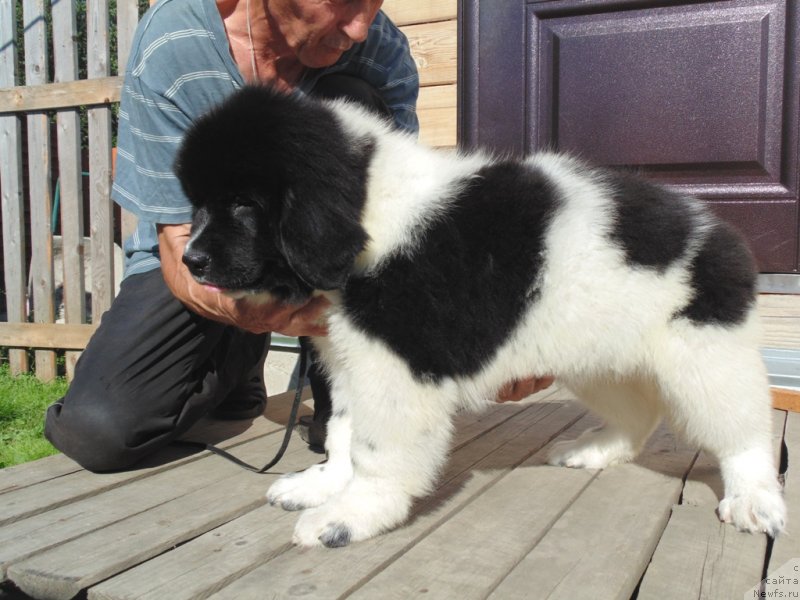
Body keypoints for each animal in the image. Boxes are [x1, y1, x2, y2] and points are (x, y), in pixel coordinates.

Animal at [173, 85, 780, 548]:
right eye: (198, 204)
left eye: (245, 204)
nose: (190, 260)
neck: (368, 211)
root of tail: (720, 230)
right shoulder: (350, 361)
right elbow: (344, 433)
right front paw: (324, 487)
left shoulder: (396, 369)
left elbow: (374, 449)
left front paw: (351, 516)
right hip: (597, 355)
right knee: (640, 414)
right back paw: (595, 451)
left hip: (705, 356)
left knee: (744, 432)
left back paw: (754, 498)